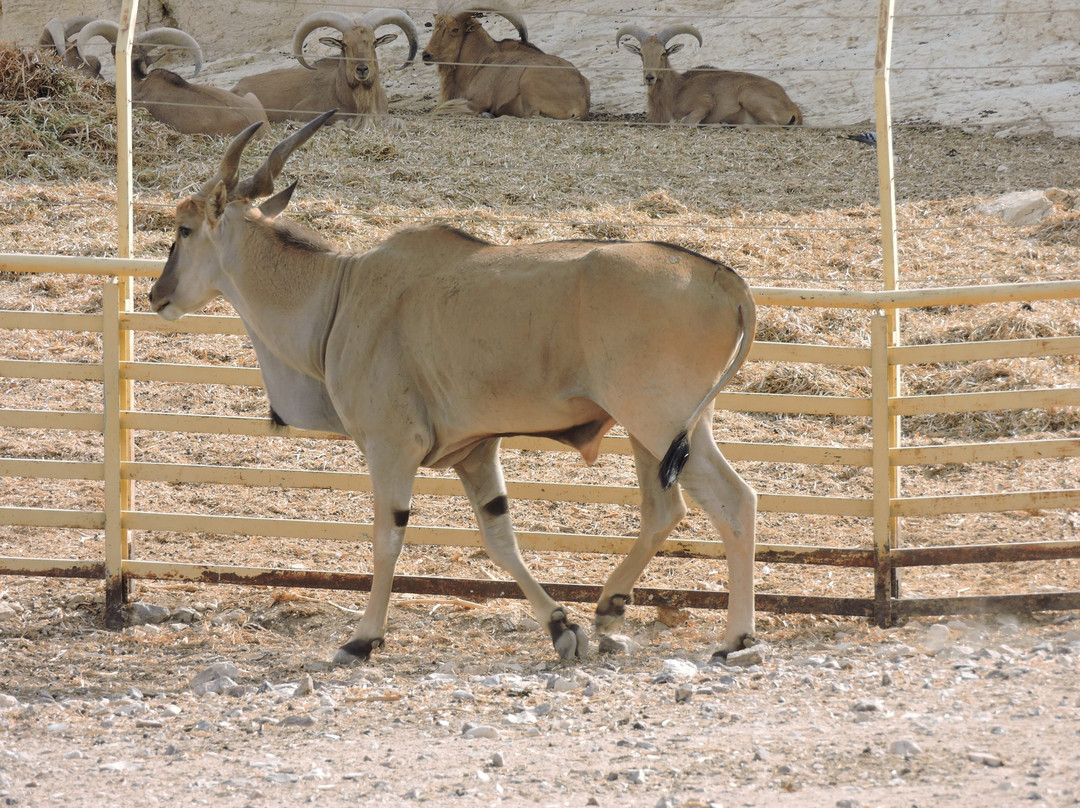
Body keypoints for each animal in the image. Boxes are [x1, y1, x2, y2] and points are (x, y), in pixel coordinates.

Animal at [148, 112, 758, 664]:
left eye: (183, 228)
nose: (158, 294)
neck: (340, 291)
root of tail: (724, 279)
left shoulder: (392, 447)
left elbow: (387, 539)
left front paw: (363, 639)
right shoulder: (475, 452)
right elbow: (500, 539)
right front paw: (562, 628)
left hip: (658, 421)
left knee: (734, 501)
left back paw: (736, 637)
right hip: (659, 433)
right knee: (664, 510)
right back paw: (609, 608)